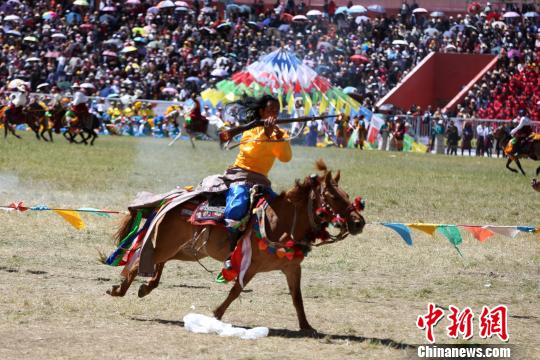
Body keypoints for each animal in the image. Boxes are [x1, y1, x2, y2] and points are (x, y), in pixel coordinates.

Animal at [104, 161, 368, 332]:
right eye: (334, 197)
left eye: (348, 196)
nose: (359, 222)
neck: (279, 221)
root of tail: (174, 199)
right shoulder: (249, 266)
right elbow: (235, 291)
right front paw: (216, 315)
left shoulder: (292, 269)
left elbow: (297, 298)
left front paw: (306, 326)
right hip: (168, 244)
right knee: (140, 260)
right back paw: (120, 289)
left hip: (186, 249)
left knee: (157, 262)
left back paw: (146, 287)